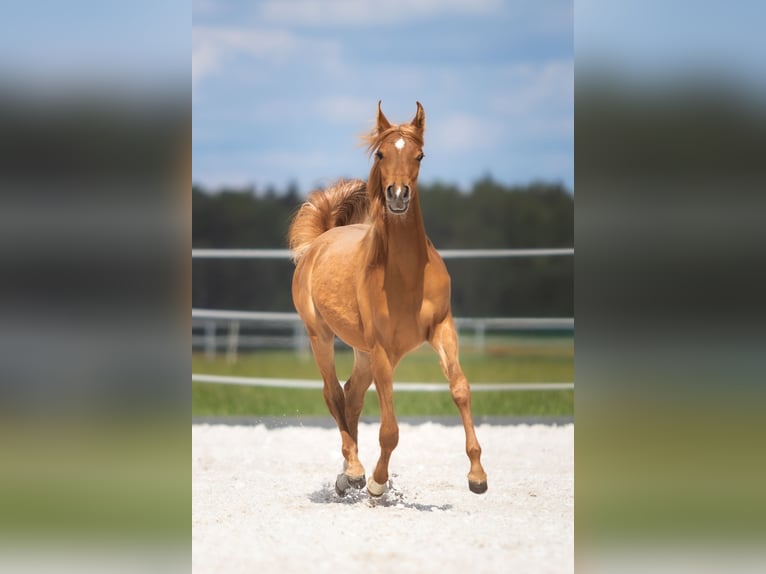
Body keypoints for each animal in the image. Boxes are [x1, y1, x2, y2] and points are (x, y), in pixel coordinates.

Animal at [288, 101, 487, 496]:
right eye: (381, 153)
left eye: (419, 154)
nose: (397, 196)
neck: (406, 277)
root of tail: (319, 243)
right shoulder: (383, 349)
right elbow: (390, 429)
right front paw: (377, 484)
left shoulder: (442, 328)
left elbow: (460, 389)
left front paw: (477, 475)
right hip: (322, 337)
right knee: (334, 395)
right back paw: (354, 470)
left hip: (362, 352)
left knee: (350, 397)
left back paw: (346, 475)